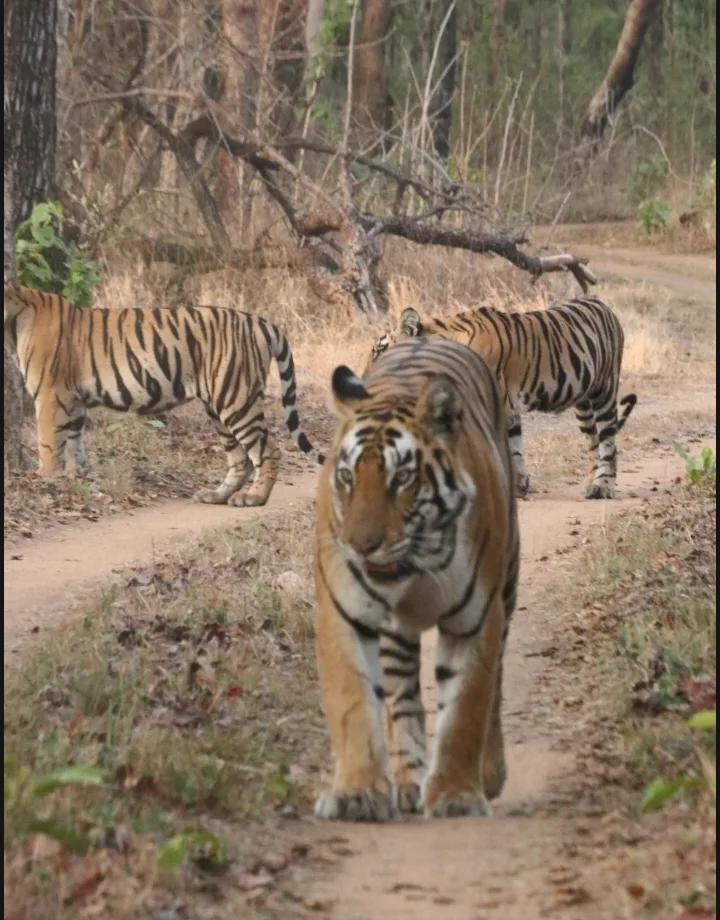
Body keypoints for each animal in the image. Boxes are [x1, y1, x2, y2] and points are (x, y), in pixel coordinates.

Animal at [3, 283, 324, 507]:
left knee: (268, 451)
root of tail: (259, 321)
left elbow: (48, 444)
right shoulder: (74, 401)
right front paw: (72, 481)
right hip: (219, 406)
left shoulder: (51, 396)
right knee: (240, 459)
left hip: (236, 398)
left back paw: (254, 497)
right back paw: (217, 495)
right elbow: (73, 446)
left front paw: (43, 479)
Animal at [313, 336, 520, 821]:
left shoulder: (475, 620)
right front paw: (355, 793)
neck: (418, 565)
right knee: (403, 697)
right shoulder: (344, 612)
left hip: (508, 585)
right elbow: (353, 700)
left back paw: (488, 773)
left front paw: (457, 795)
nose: (360, 545)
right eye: (347, 477)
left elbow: (466, 707)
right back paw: (408, 780)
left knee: (497, 682)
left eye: (402, 479)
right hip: (396, 635)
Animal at [365, 296, 638, 501]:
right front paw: (519, 488)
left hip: (604, 392)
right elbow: (514, 450)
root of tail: (603, 304)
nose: (364, 377)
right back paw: (590, 482)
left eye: (379, 350)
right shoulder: (508, 411)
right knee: (594, 442)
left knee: (608, 442)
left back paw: (602, 487)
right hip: (582, 403)